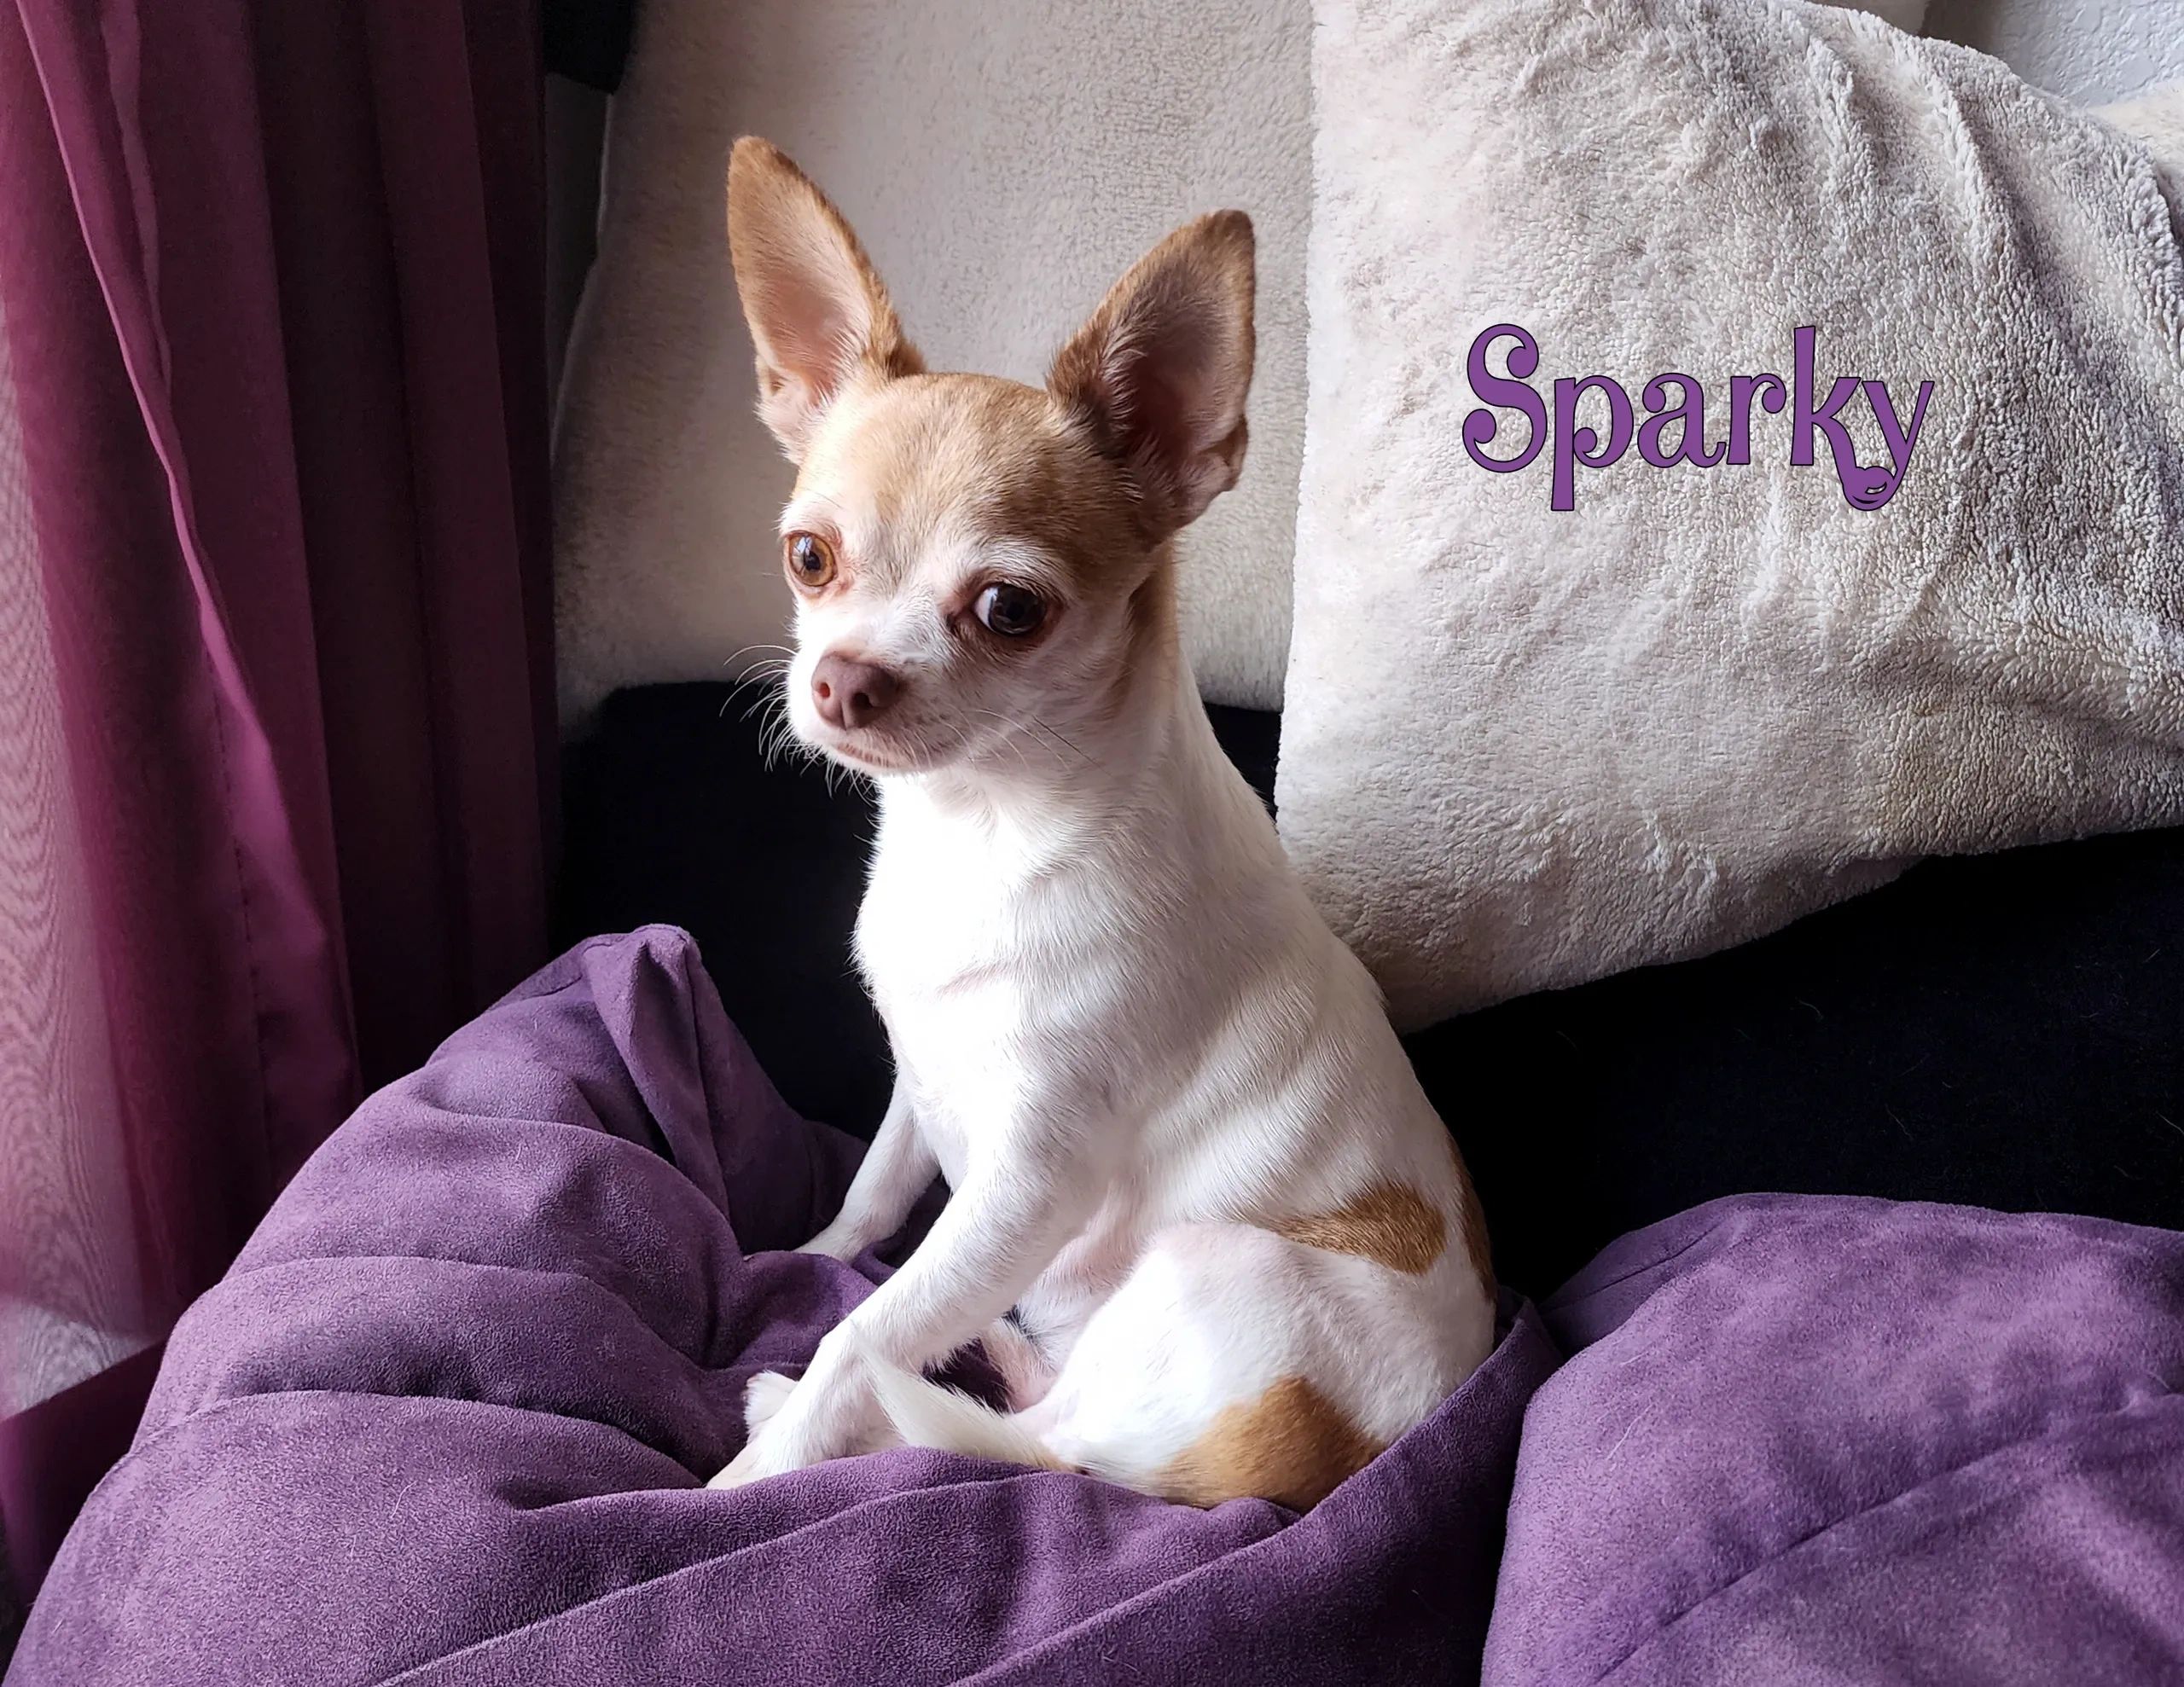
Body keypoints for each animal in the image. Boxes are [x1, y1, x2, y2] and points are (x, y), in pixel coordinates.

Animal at [707, 145, 1494, 1510]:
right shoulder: (922, 1081)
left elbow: (861, 1336)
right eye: (809, 558)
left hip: (1205, 1266)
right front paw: (810, 1252)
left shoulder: (1028, 1186)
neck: (985, 829)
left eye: (1008, 610)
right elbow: (870, 1204)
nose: (843, 679)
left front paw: (760, 1462)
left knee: (1040, 1445)